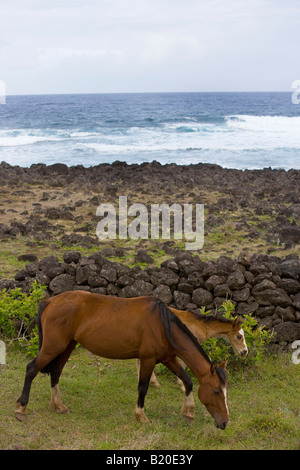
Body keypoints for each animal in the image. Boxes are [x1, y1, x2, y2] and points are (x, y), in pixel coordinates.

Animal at [14, 292, 230, 432]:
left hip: (67, 346)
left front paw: (189, 413)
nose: (225, 423)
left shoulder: (168, 358)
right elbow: (143, 387)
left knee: (56, 372)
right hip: (53, 346)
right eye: (216, 391)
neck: (162, 324)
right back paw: (21, 408)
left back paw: (58, 405)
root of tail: (51, 300)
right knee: (31, 369)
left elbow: (187, 380)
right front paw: (140, 416)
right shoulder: (148, 359)